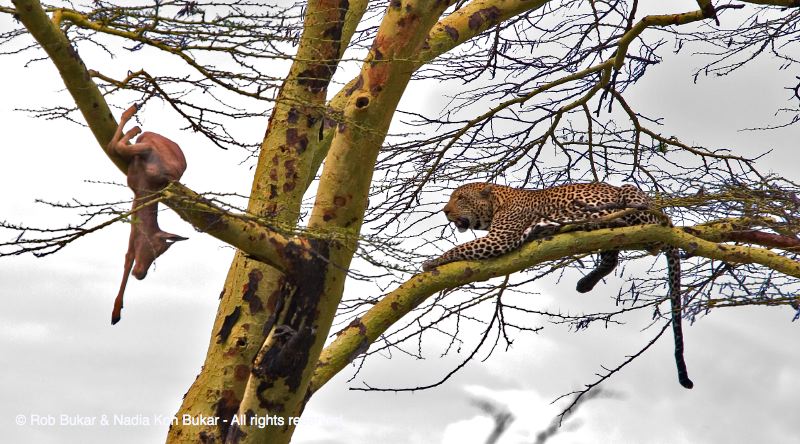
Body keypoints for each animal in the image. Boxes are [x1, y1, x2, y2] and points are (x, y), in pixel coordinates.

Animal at [418, 180, 692, 388]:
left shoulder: (500, 239)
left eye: (461, 198)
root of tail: (667, 221)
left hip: (633, 196)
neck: (497, 203)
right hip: (608, 237)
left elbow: (461, 247)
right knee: (611, 257)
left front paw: (433, 262)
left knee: (643, 221)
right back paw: (584, 281)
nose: (445, 211)